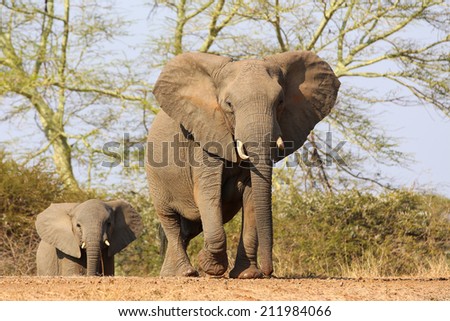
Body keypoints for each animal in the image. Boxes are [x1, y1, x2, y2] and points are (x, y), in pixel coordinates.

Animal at [148, 49, 342, 278]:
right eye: (229, 105)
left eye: (280, 102)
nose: (269, 272)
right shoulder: (205, 137)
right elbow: (207, 192)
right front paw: (211, 267)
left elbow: (252, 198)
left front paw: (248, 274)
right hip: (156, 177)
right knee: (170, 220)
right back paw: (185, 273)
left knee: (188, 229)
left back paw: (171, 274)